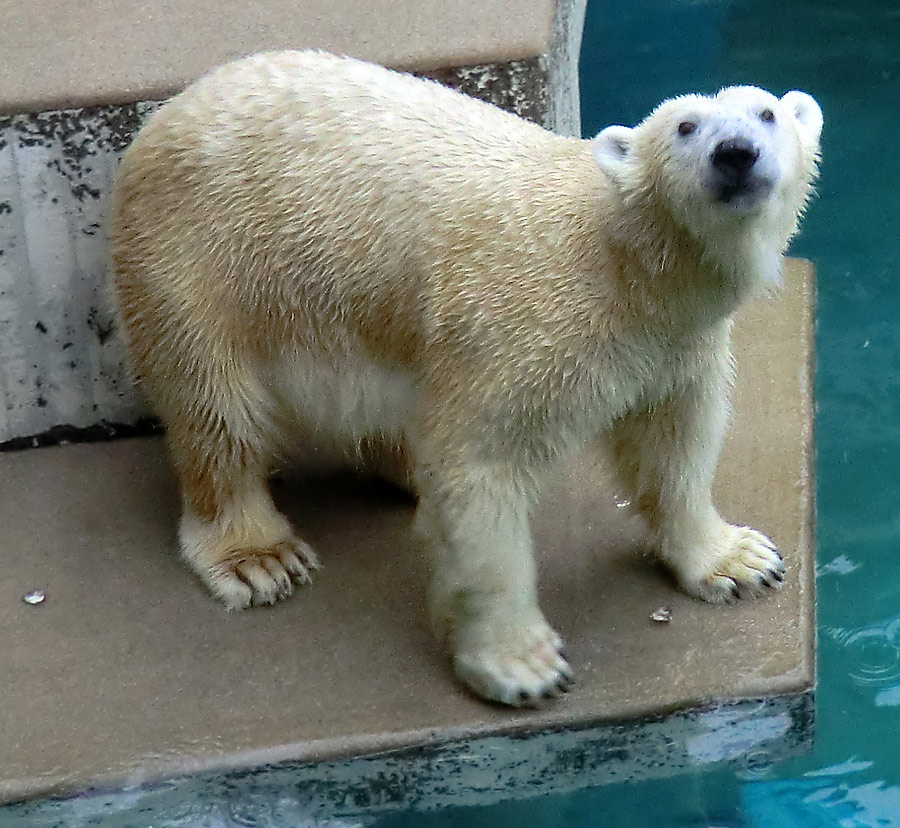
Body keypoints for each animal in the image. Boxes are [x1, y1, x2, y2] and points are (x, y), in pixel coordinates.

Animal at [107, 51, 824, 708]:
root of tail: (174, 106)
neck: (624, 264)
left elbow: (674, 443)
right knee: (215, 406)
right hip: (198, 262)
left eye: (766, 112)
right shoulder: (531, 329)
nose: (736, 153)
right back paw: (258, 556)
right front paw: (522, 665)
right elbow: (482, 469)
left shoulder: (676, 346)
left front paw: (738, 560)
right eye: (685, 126)